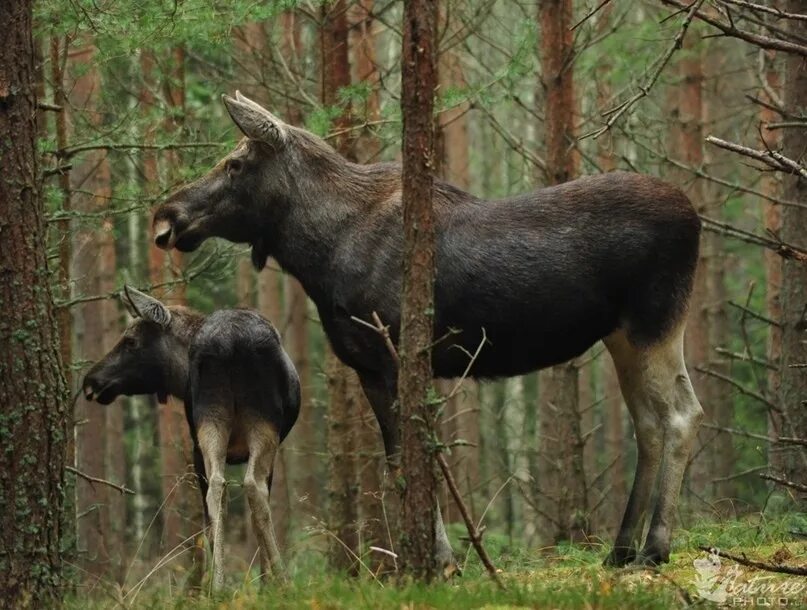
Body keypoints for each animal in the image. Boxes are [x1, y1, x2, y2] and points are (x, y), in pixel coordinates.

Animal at [82, 288, 300, 588]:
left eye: (130, 341)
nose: (90, 381)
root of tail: (230, 343)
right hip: (254, 423)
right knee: (248, 487)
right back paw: (269, 580)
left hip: (215, 421)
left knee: (222, 488)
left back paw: (222, 584)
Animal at [155, 92, 704, 568]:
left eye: (234, 164)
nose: (167, 214)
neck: (318, 253)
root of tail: (696, 217)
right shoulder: (370, 367)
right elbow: (398, 460)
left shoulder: (394, 353)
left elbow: (410, 457)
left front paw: (439, 560)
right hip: (623, 336)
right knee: (648, 422)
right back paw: (621, 549)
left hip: (655, 322)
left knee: (681, 414)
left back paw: (655, 547)